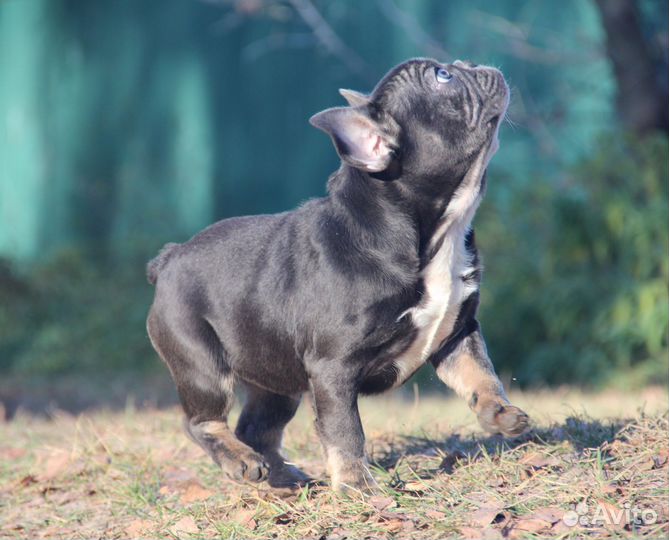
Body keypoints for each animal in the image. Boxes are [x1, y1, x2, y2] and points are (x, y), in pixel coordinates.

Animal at [146, 57, 528, 492]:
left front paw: (500, 413)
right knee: (203, 421)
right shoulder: (333, 368)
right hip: (202, 363)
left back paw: (284, 475)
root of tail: (169, 258)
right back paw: (240, 461)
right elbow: (345, 429)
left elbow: (481, 374)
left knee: (257, 426)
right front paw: (356, 485)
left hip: (276, 377)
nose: (471, 63)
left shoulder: (458, 333)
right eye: (442, 77)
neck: (432, 233)